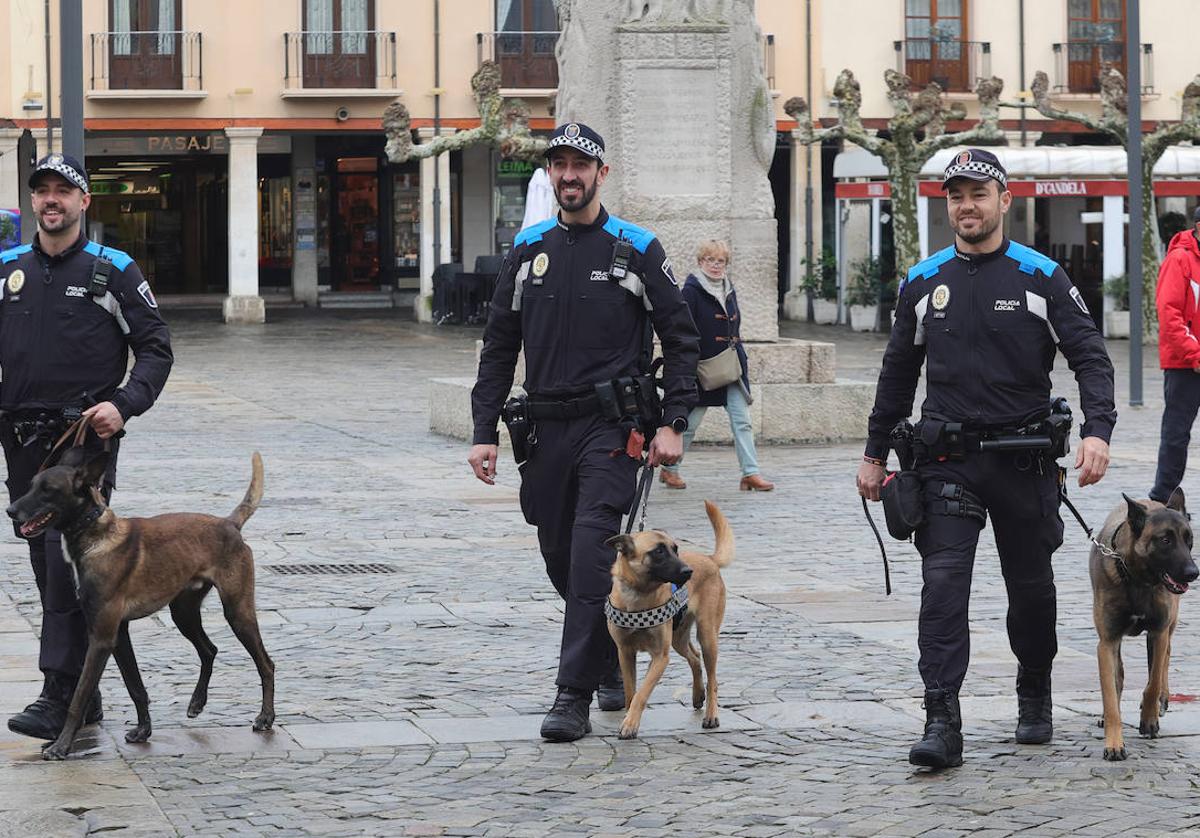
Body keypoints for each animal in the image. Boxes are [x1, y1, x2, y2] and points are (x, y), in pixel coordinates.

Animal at [5, 451, 272, 758]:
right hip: (183, 613)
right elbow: (135, 686)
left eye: (48, 490)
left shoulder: (102, 638)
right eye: (31, 486)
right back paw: (197, 702)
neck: (94, 535)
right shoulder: (119, 634)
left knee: (266, 664)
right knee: (209, 650)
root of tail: (229, 523)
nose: (10, 510)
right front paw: (144, 730)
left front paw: (61, 746)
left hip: (237, 612)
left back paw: (266, 717)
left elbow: (79, 696)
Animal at [604, 499, 724, 734]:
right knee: (695, 658)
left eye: (676, 549)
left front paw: (630, 724)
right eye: (658, 551)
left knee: (713, 678)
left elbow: (641, 693)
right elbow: (630, 692)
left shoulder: (660, 656)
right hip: (678, 638)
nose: (688, 572)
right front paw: (628, 718)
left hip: (707, 636)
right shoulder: (625, 653)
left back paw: (711, 715)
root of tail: (708, 559)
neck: (638, 596)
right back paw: (697, 695)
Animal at [1094, 489, 1195, 758]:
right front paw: (1114, 742)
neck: (1136, 579)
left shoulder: (1158, 632)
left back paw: (1163, 700)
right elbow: (1111, 693)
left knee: (1164, 662)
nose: (1194, 572)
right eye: (1165, 540)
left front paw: (1149, 720)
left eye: (1189, 539)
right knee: (1119, 674)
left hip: (1167, 628)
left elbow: (1153, 682)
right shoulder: (1107, 642)